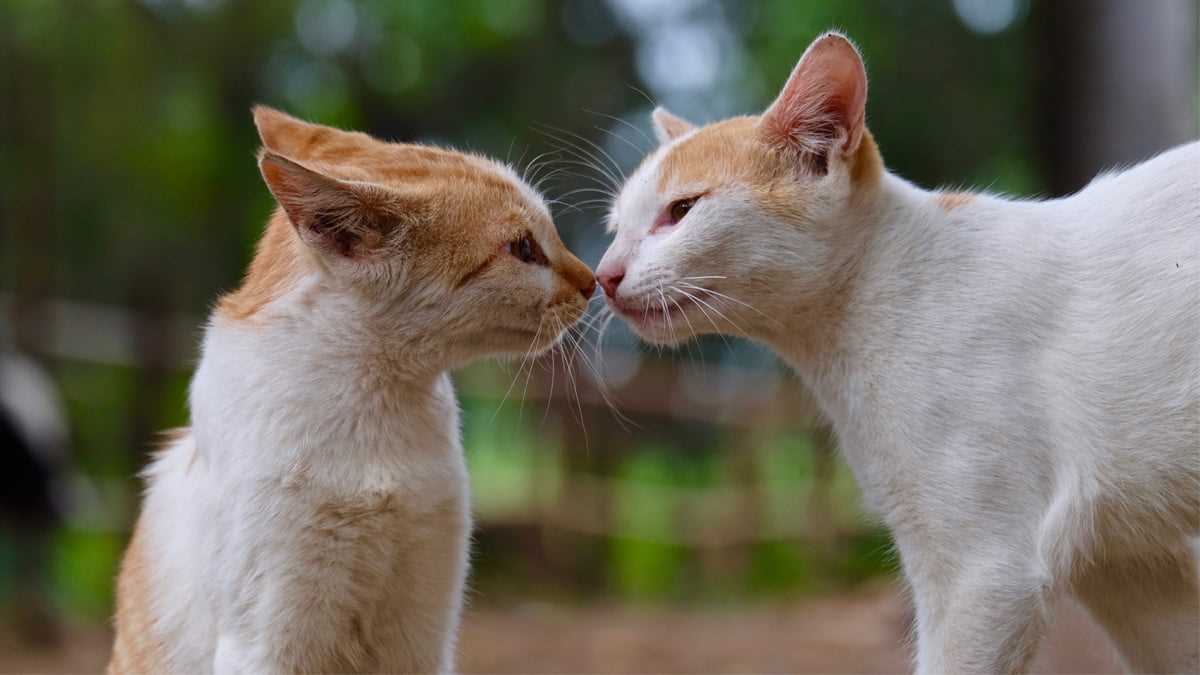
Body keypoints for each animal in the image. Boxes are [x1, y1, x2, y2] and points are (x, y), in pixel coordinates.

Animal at [109, 107, 595, 667]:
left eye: (548, 234)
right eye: (522, 248)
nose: (592, 281)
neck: (377, 407)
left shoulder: (424, 640)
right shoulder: (266, 644)